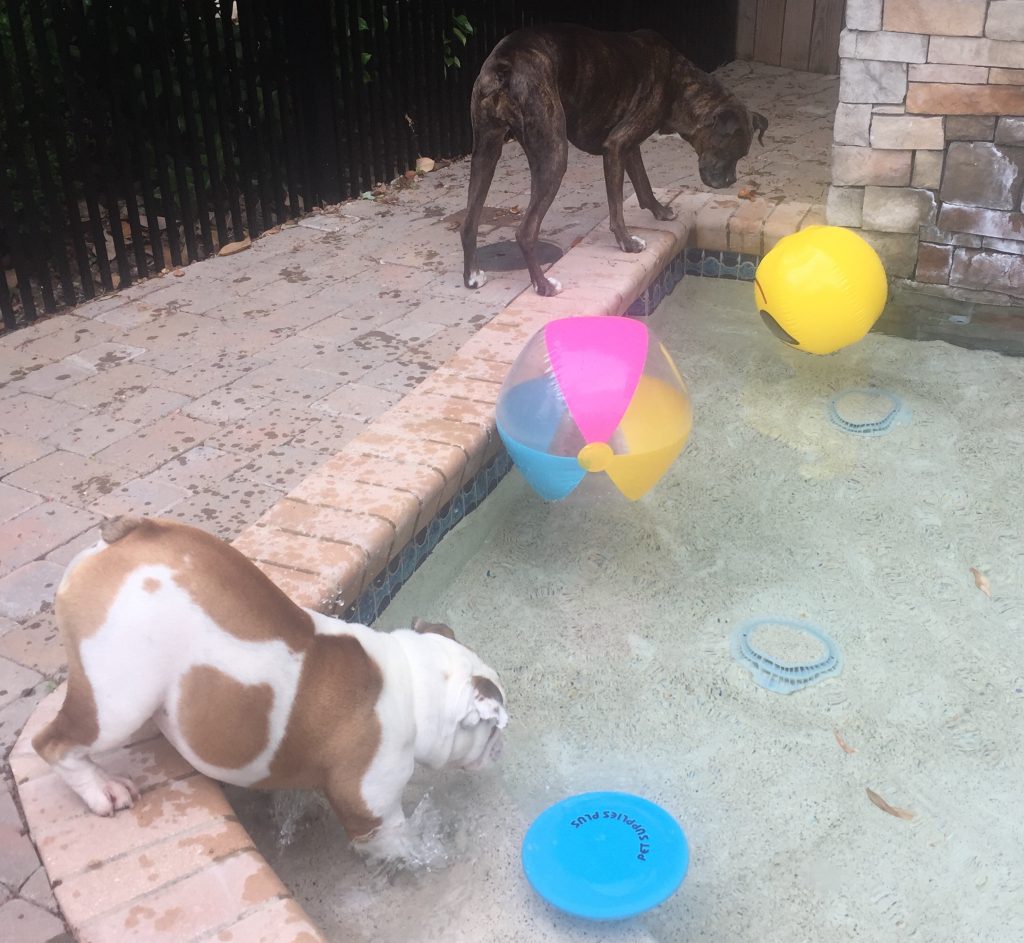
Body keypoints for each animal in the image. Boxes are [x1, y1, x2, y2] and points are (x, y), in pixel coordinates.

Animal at [464, 24, 770, 294]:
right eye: (730, 151)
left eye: (742, 155)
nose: (730, 181)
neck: (680, 84)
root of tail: (505, 62)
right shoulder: (616, 147)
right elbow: (617, 208)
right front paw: (627, 243)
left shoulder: (628, 147)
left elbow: (643, 183)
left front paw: (660, 211)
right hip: (553, 157)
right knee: (526, 231)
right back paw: (544, 286)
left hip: (485, 153)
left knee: (470, 221)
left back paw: (472, 276)